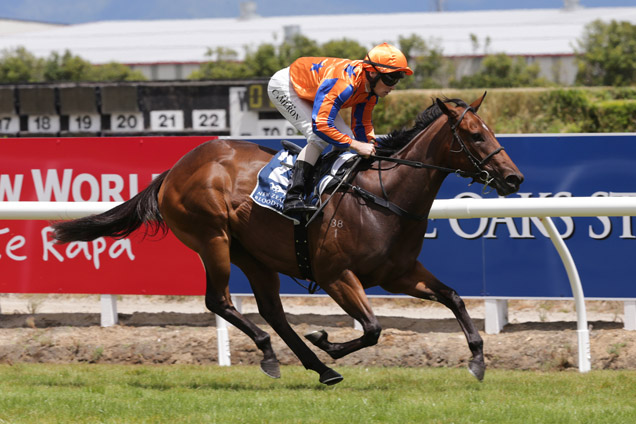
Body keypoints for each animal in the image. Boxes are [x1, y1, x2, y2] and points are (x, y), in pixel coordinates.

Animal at [53, 94, 520, 386]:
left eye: (491, 131)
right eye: (475, 135)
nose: (514, 178)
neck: (383, 196)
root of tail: (175, 168)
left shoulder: (399, 274)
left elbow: (453, 297)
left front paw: (478, 359)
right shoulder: (336, 275)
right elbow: (372, 328)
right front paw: (327, 341)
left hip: (253, 254)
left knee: (271, 311)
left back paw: (319, 369)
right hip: (212, 239)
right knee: (219, 301)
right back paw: (273, 354)